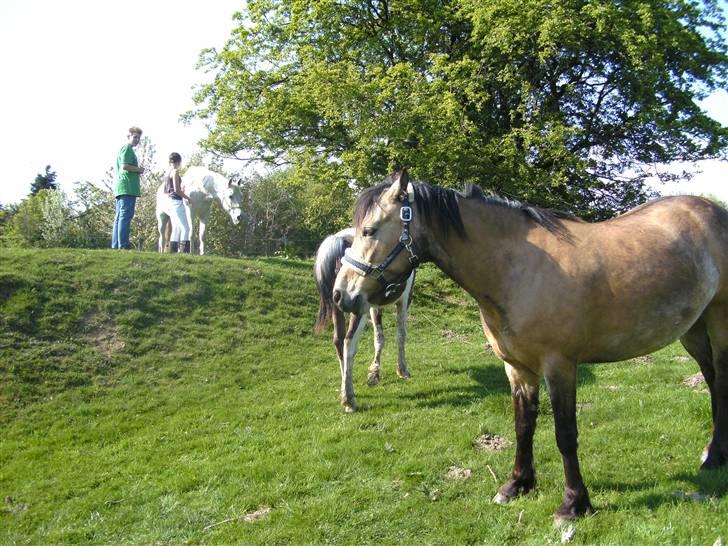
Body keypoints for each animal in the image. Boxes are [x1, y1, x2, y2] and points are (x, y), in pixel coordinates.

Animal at [312, 227, 416, 410]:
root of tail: (338, 240)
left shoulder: (374, 306)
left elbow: (379, 338)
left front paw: (374, 373)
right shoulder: (404, 300)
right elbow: (401, 335)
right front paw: (402, 370)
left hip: (337, 305)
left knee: (338, 341)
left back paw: (344, 387)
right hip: (357, 309)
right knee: (349, 341)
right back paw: (349, 399)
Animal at [334, 168, 728, 520]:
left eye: (369, 230)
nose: (341, 295)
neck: (517, 270)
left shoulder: (560, 366)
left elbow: (565, 434)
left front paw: (573, 504)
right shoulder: (518, 368)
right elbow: (523, 425)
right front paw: (517, 485)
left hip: (718, 325)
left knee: (720, 382)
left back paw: (713, 458)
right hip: (693, 331)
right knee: (711, 382)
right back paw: (714, 454)